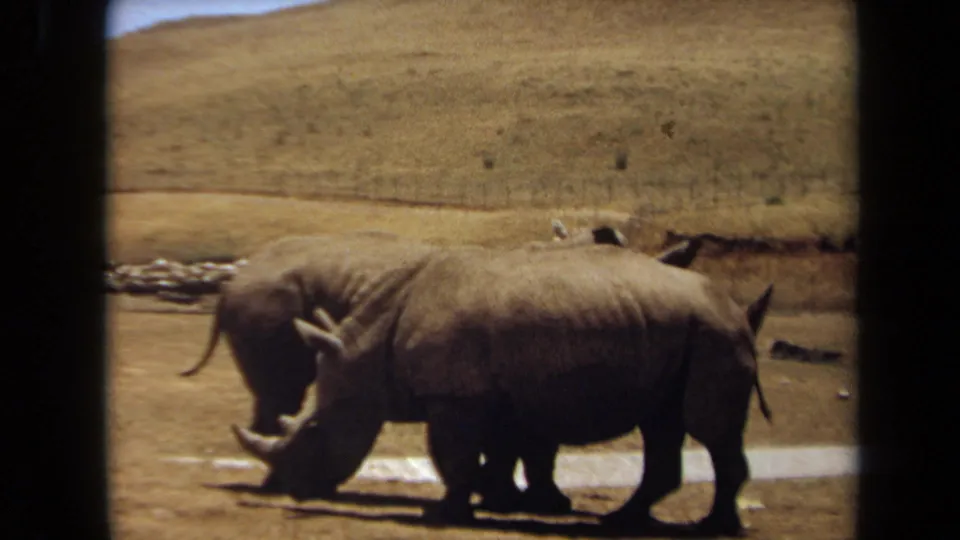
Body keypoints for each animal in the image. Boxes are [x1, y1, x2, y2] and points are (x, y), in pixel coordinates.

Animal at [231, 245, 773, 536]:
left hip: (712, 335)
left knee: (708, 428)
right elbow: (495, 453)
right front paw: (493, 499)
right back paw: (622, 521)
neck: (369, 346)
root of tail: (736, 311)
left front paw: (445, 512)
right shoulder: (494, 397)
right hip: (685, 333)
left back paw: (713, 527)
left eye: (314, 431)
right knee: (663, 422)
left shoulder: (455, 398)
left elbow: (452, 455)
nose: (294, 489)